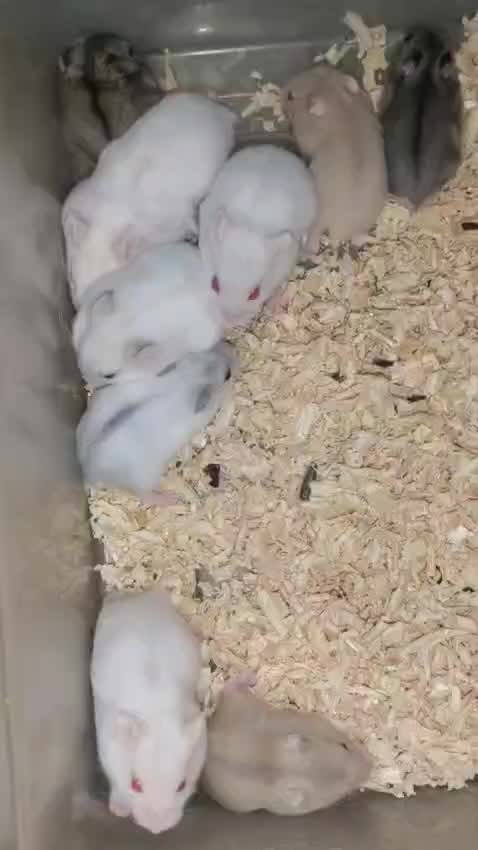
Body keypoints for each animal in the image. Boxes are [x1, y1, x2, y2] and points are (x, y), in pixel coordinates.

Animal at [76, 342, 234, 502]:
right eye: (228, 375)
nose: (233, 350)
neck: (189, 379)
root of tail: (89, 472)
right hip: (144, 479)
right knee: (145, 496)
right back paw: (171, 499)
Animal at [91, 588, 207, 834]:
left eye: (182, 785)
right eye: (135, 785)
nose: (157, 830)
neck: (158, 716)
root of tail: (139, 596)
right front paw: (118, 811)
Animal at [282, 63, 387, 250]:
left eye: (290, 96)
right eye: (319, 67)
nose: (281, 89)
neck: (338, 102)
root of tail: (341, 233)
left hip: (317, 220)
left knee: (314, 240)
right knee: (358, 238)